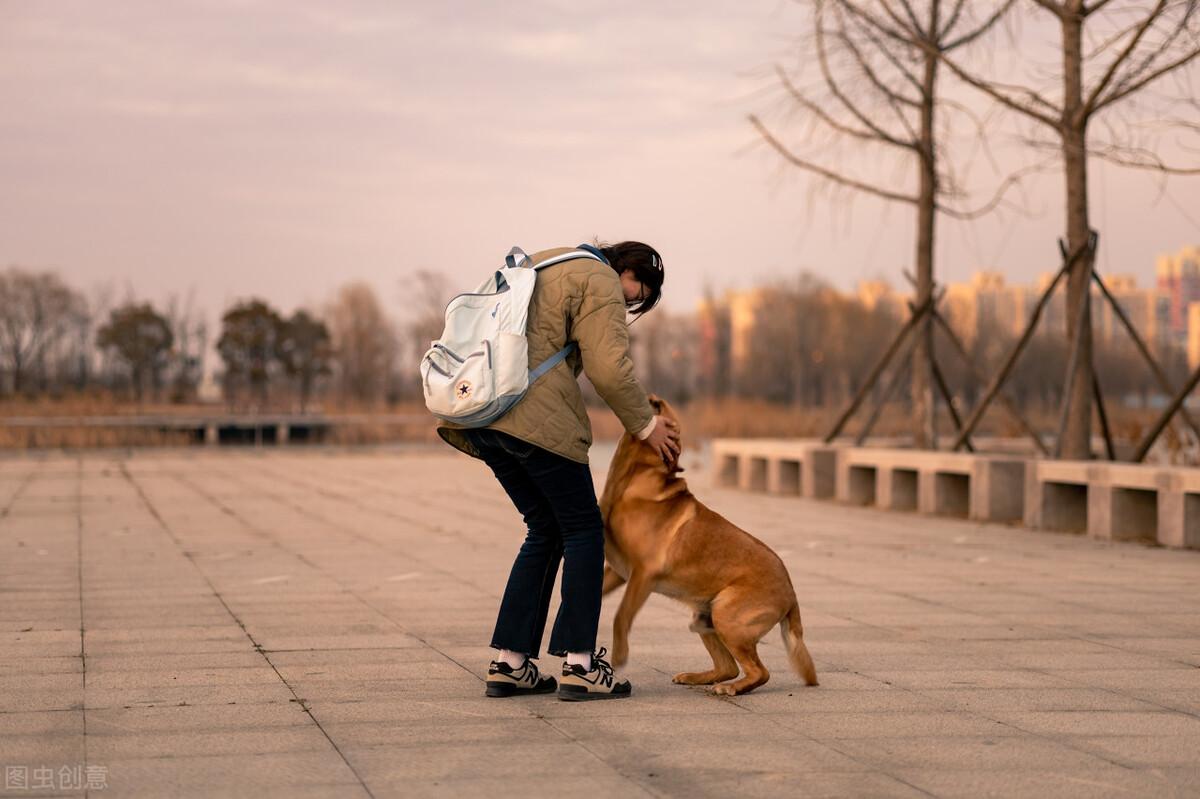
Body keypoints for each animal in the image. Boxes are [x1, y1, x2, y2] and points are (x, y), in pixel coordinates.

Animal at [597, 395, 820, 695]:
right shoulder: (619, 572)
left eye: (664, 413)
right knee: (728, 667)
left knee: (759, 671)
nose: (651, 399)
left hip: (726, 616)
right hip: (703, 619)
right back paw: (696, 677)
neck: (630, 481)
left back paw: (731, 688)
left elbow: (621, 615)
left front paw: (620, 655)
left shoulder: (642, 574)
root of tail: (792, 595)